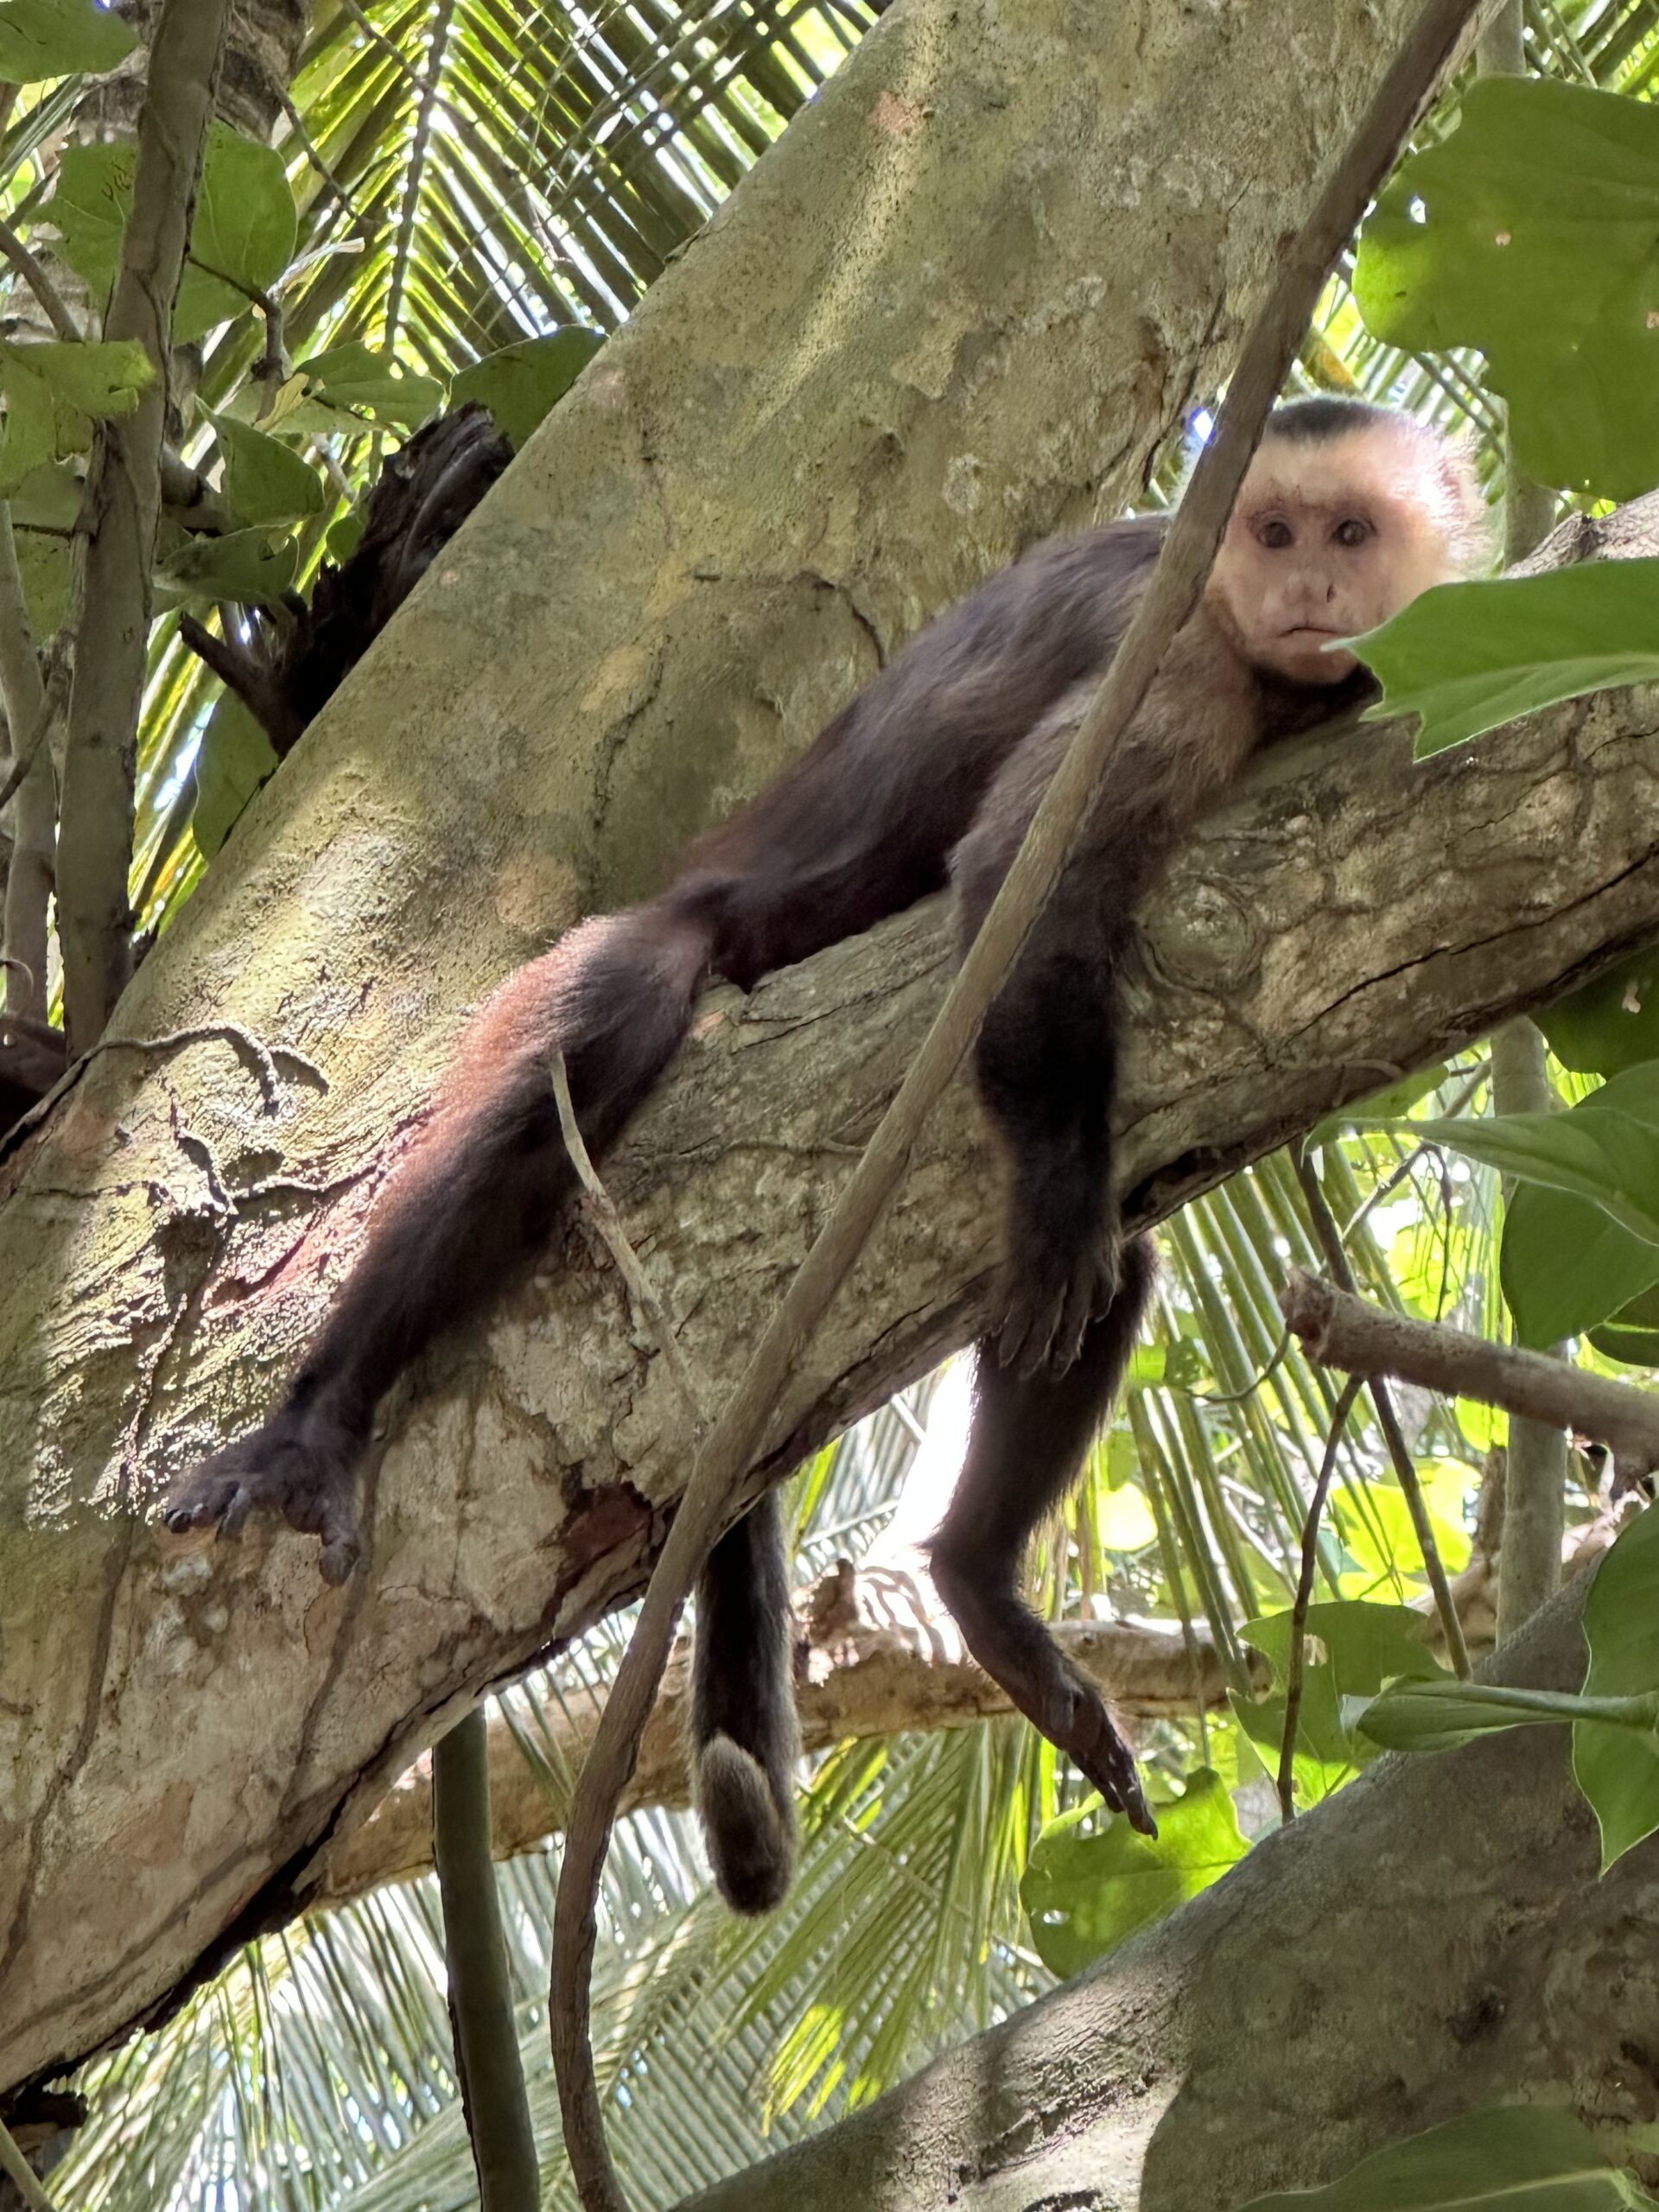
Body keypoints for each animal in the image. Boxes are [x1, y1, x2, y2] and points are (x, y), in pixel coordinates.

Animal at [164, 397, 1486, 1906]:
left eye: (1349, 532)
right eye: (1272, 531)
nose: (1307, 586)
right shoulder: (1179, 660)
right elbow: (1015, 885)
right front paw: (1054, 1183)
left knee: (1117, 1265)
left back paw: (977, 1580)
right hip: (648, 937)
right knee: (567, 1078)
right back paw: (318, 1419)